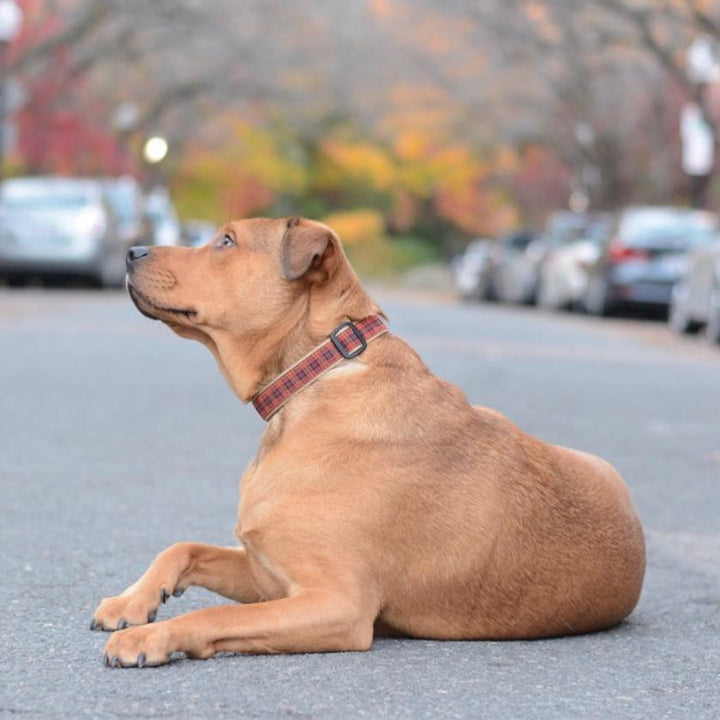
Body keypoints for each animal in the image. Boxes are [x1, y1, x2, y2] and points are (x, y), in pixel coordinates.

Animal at [91, 217, 648, 668]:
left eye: (226, 241)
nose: (132, 251)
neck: (316, 371)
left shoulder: (336, 605)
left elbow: (213, 617)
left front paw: (153, 637)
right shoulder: (266, 571)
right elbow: (184, 547)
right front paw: (132, 603)